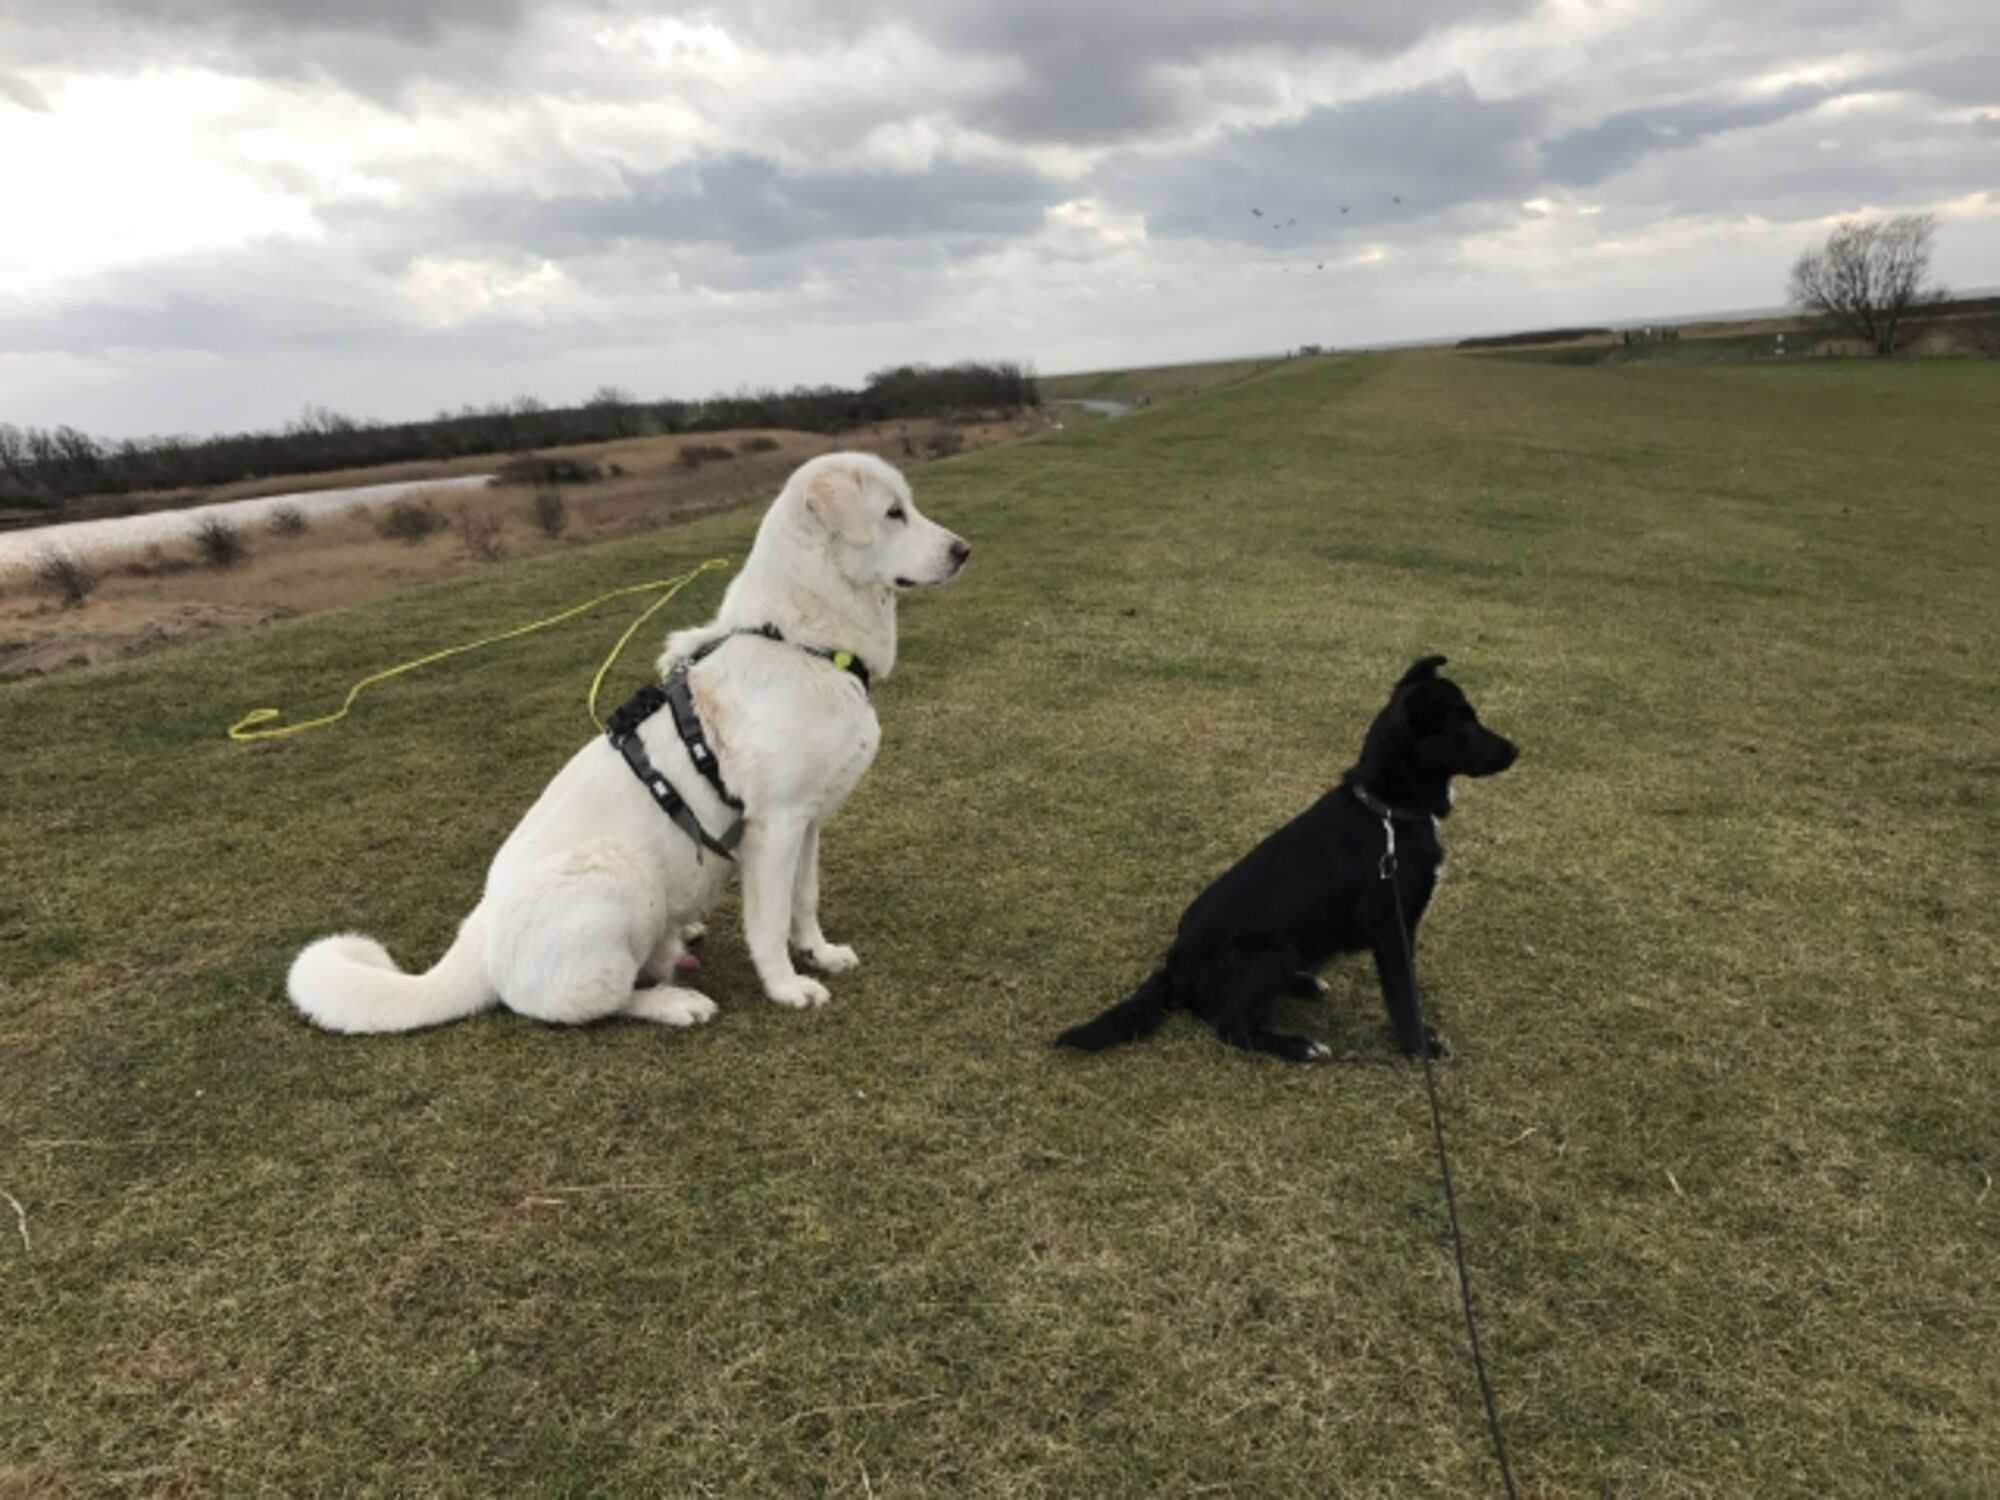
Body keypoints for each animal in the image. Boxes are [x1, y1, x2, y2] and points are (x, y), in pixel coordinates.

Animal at [288, 452, 969, 1033]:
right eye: (893, 513)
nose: (965, 550)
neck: (802, 640)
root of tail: (475, 943)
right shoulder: (774, 828)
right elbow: (770, 924)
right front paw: (786, 988)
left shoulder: (809, 824)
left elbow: (804, 903)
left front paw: (820, 954)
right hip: (622, 877)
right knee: (592, 1003)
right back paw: (673, 1002)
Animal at [1054, 656, 1516, 1063]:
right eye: (1465, 724)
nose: (1516, 749)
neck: (1385, 811)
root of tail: (1174, 968)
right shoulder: (1392, 931)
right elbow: (1404, 996)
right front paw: (1420, 1047)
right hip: (1273, 952)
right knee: (1229, 1028)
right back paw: (1300, 1047)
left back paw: (1305, 984)